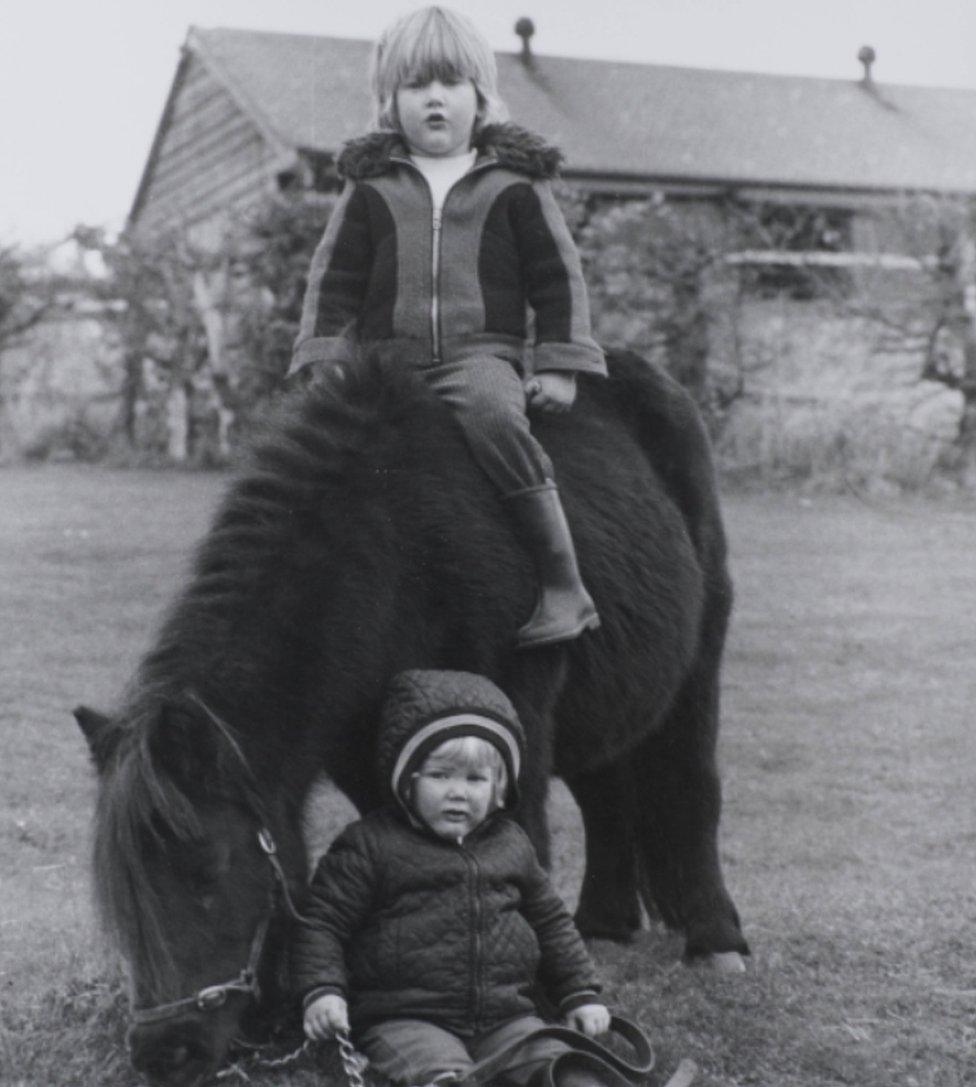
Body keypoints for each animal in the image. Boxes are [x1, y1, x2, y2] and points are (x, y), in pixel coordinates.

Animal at [76, 350, 747, 1087]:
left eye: (205, 872)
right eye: (120, 893)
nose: (164, 1052)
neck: (395, 554)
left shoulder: (513, 729)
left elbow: (519, 850)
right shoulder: (370, 751)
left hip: (695, 668)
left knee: (691, 786)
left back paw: (716, 939)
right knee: (607, 799)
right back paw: (602, 925)